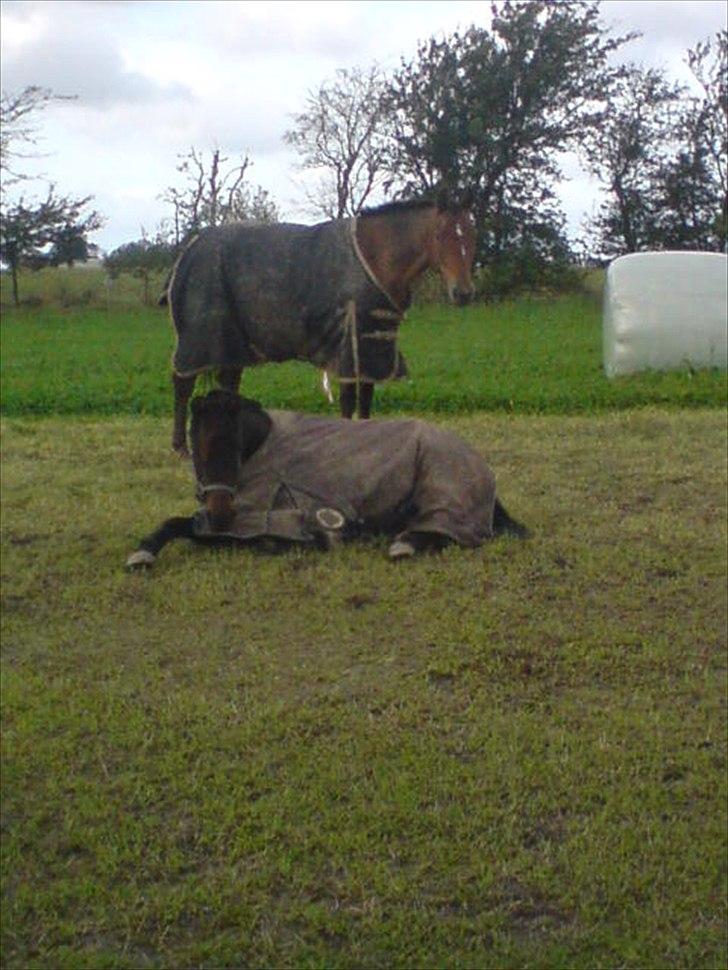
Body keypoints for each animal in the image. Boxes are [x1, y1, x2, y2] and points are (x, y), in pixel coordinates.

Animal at [164, 196, 478, 458]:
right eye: (440, 235)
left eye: (471, 233)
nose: (463, 293)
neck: (375, 258)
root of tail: (191, 247)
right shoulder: (348, 348)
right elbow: (349, 400)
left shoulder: (371, 349)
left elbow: (366, 399)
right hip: (199, 339)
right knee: (183, 383)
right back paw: (180, 447)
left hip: (233, 344)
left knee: (227, 383)